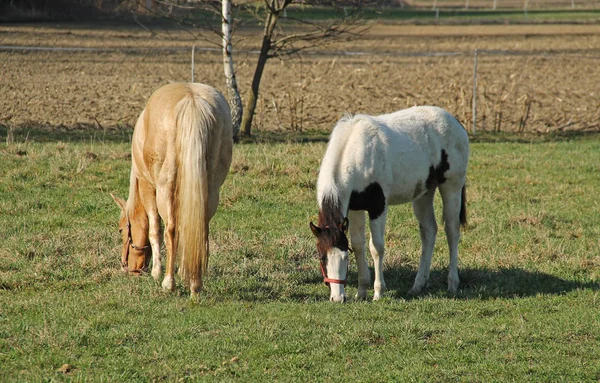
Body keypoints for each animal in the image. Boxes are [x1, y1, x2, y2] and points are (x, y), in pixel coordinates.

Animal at [111, 82, 233, 296]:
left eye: (121, 230)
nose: (129, 268)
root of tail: (192, 101)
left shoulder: (148, 187)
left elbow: (155, 230)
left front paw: (157, 271)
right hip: (211, 188)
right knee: (201, 226)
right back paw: (195, 283)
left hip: (165, 189)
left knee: (171, 229)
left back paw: (169, 282)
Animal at [312, 106, 472, 304]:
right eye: (322, 258)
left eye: (344, 258)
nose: (337, 298)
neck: (355, 151)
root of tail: (455, 122)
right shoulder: (355, 207)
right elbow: (358, 245)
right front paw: (361, 291)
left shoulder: (378, 206)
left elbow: (376, 248)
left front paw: (378, 292)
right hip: (424, 193)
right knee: (429, 231)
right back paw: (417, 285)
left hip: (451, 187)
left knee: (452, 232)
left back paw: (452, 284)